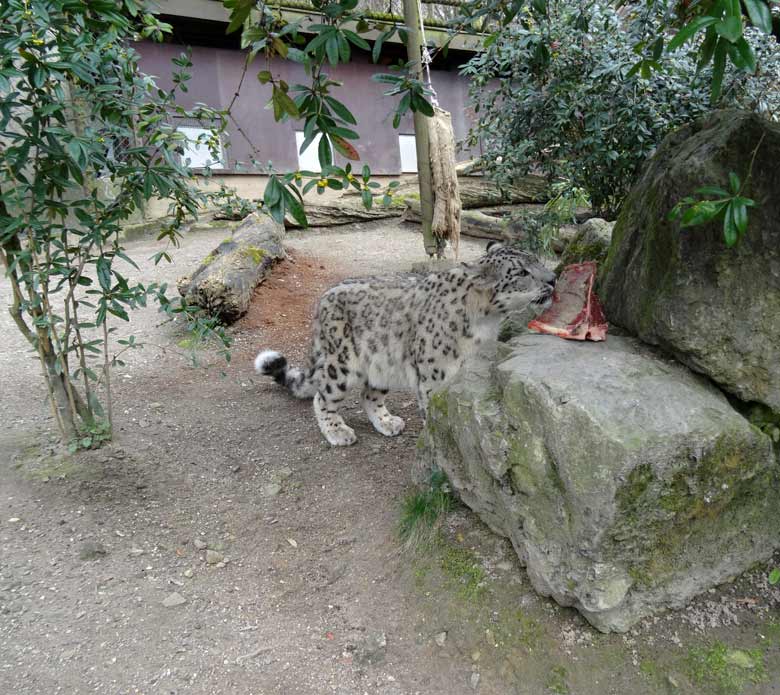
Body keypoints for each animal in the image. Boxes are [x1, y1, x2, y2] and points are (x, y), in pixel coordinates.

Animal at [256, 243, 556, 446]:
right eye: (521, 272)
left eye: (537, 260)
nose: (553, 279)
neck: (487, 322)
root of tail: (323, 299)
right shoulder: (435, 379)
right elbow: (436, 420)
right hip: (340, 364)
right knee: (323, 397)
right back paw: (338, 432)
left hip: (382, 362)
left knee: (369, 395)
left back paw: (387, 422)